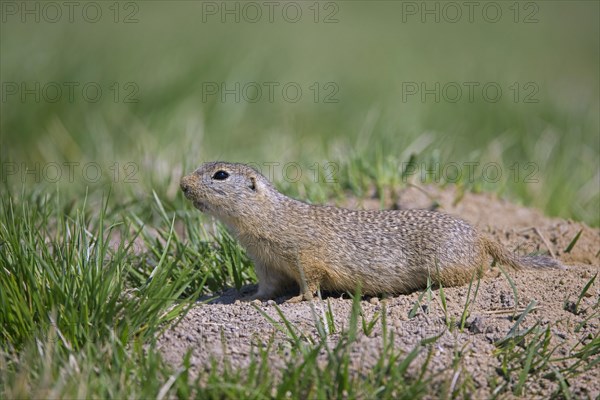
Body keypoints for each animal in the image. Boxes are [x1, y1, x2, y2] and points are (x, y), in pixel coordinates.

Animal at [180, 161, 564, 302]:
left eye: (220, 175)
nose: (182, 184)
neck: (268, 217)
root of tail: (481, 234)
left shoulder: (305, 253)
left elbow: (311, 279)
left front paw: (298, 300)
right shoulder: (265, 264)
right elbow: (267, 286)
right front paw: (249, 298)